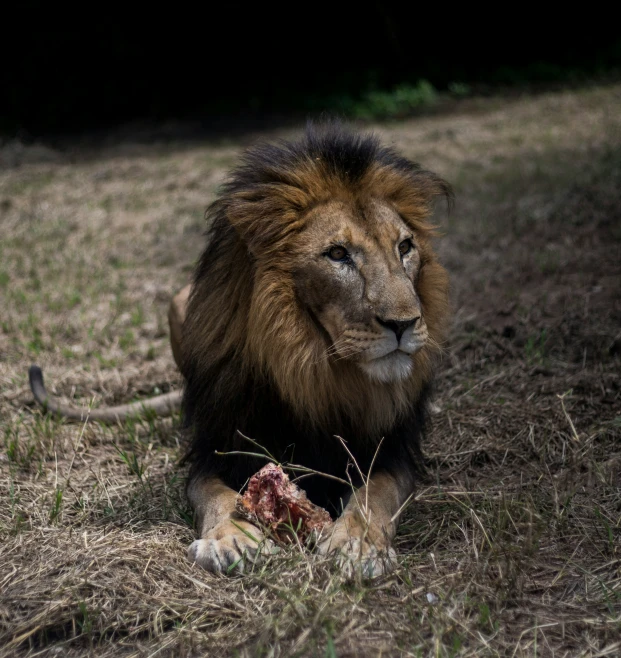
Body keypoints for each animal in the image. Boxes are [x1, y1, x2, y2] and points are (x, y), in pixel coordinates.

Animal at [30, 123, 450, 576]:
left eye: (404, 247)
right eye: (338, 254)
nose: (405, 323)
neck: (314, 373)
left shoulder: (393, 451)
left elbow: (376, 493)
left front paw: (358, 545)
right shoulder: (213, 452)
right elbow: (217, 495)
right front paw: (231, 539)